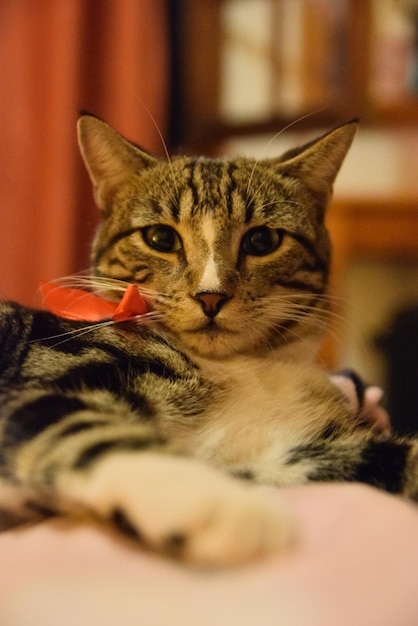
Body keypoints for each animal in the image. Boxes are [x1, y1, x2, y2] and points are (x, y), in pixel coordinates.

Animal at [1, 113, 416, 564]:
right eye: (161, 238)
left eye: (262, 240)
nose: (211, 295)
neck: (237, 367)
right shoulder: (43, 383)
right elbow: (87, 429)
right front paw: (218, 504)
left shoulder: (296, 449)